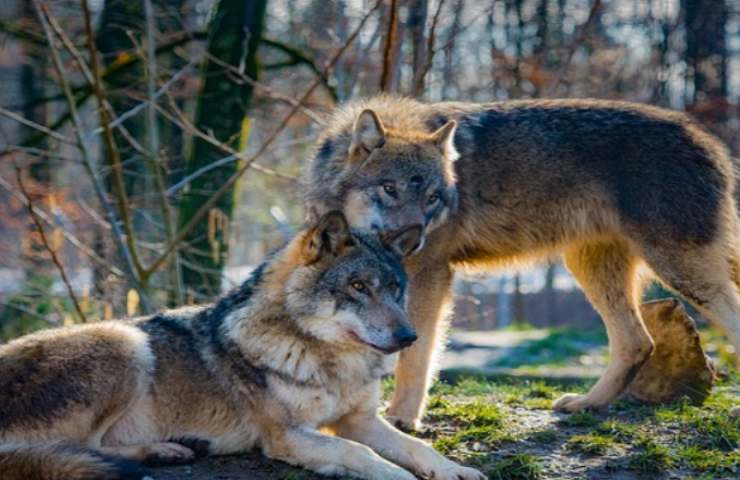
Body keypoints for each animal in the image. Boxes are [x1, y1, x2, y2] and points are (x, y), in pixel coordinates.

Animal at [0, 212, 486, 480]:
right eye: (358, 287)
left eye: (395, 289)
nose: (409, 337)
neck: (328, 361)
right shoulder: (287, 436)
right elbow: (361, 454)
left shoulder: (358, 419)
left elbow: (418, 448)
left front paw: (455, 470)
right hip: (125, 341)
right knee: (80, 450)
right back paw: (162, 451)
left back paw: (171, 450)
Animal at [304, 95, 740, 430]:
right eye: (389, 189)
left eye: (432, 198)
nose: (414, 239)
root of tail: (710, 141)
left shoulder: (430, 274)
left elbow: (415, 356)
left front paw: (401, 419)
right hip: (591, 269)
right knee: (637, 342)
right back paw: (586, 404)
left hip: (682, 273)